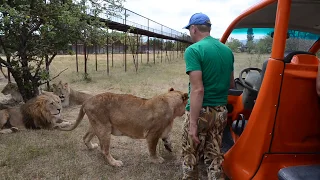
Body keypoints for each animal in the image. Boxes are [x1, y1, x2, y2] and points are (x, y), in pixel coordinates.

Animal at [58, 88, 189, 167]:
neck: (170, 103)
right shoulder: (153, 134)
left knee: (85, 137)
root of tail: (87, 101)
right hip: (104, 128)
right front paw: (156, 160)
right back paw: (115, 163)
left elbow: (168, 138)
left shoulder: (164, 130)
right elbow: (152, 149)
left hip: (95, 125)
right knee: (104, 150)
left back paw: (91, 146)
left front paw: (169, 147)